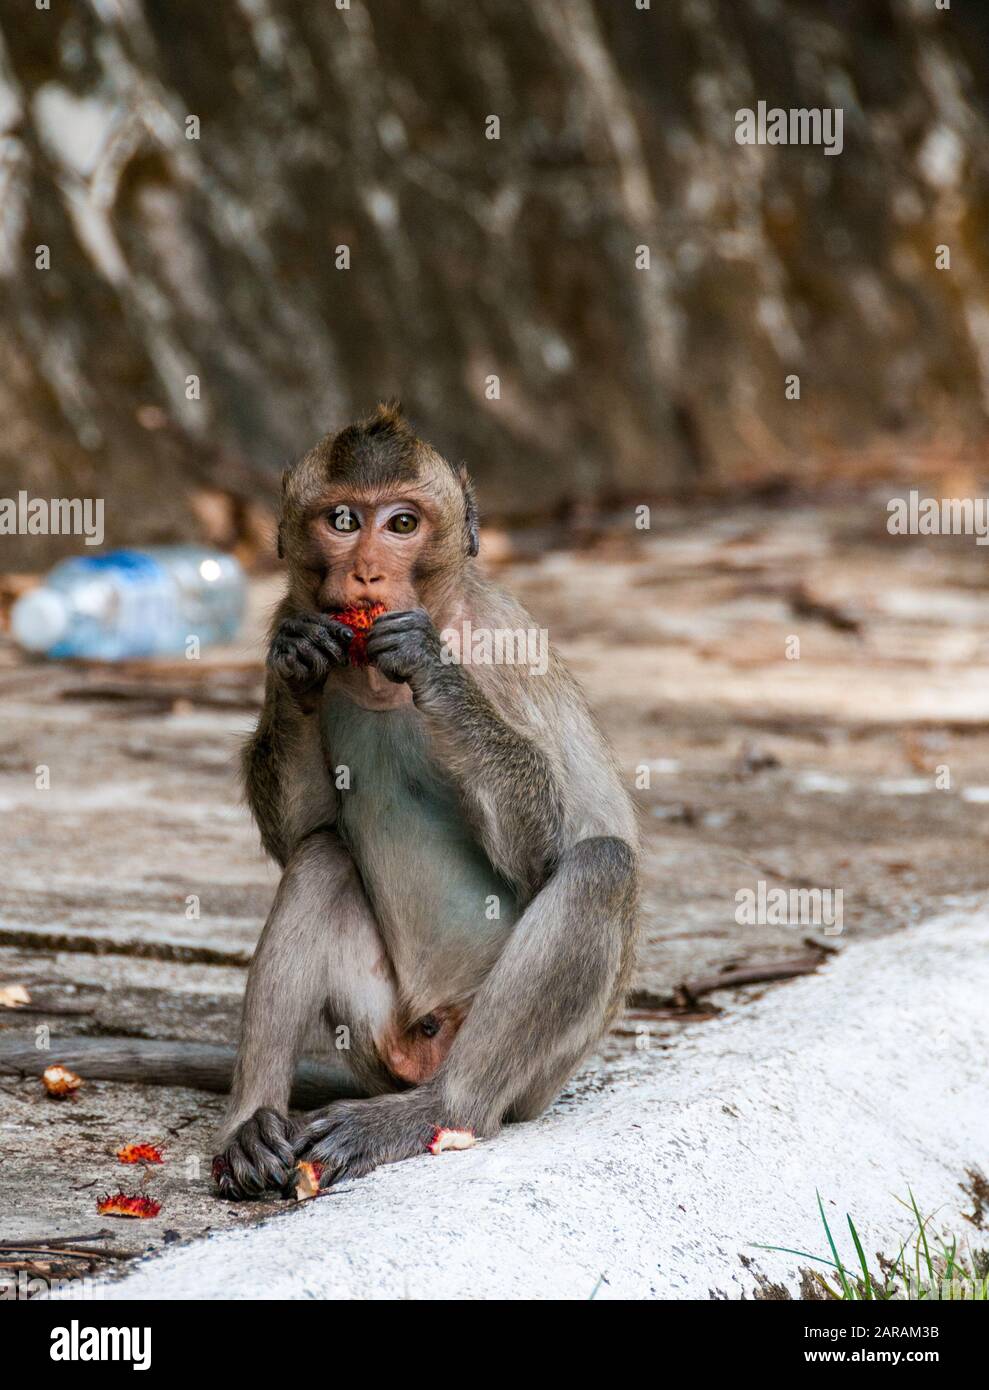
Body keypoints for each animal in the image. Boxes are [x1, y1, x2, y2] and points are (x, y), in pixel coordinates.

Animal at [211, 397, 641, 1200]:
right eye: (343, 519)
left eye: (402, 523)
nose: (368, 572)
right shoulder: (288, 609)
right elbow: (300, 829)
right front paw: (298, 665)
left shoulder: (508, 641)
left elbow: (547, 847)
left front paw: (432, 670)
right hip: (376, 1032)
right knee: (320, 858)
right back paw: (252, 1123)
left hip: (536, 1075)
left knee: (601, 867)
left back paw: (438, 1111)